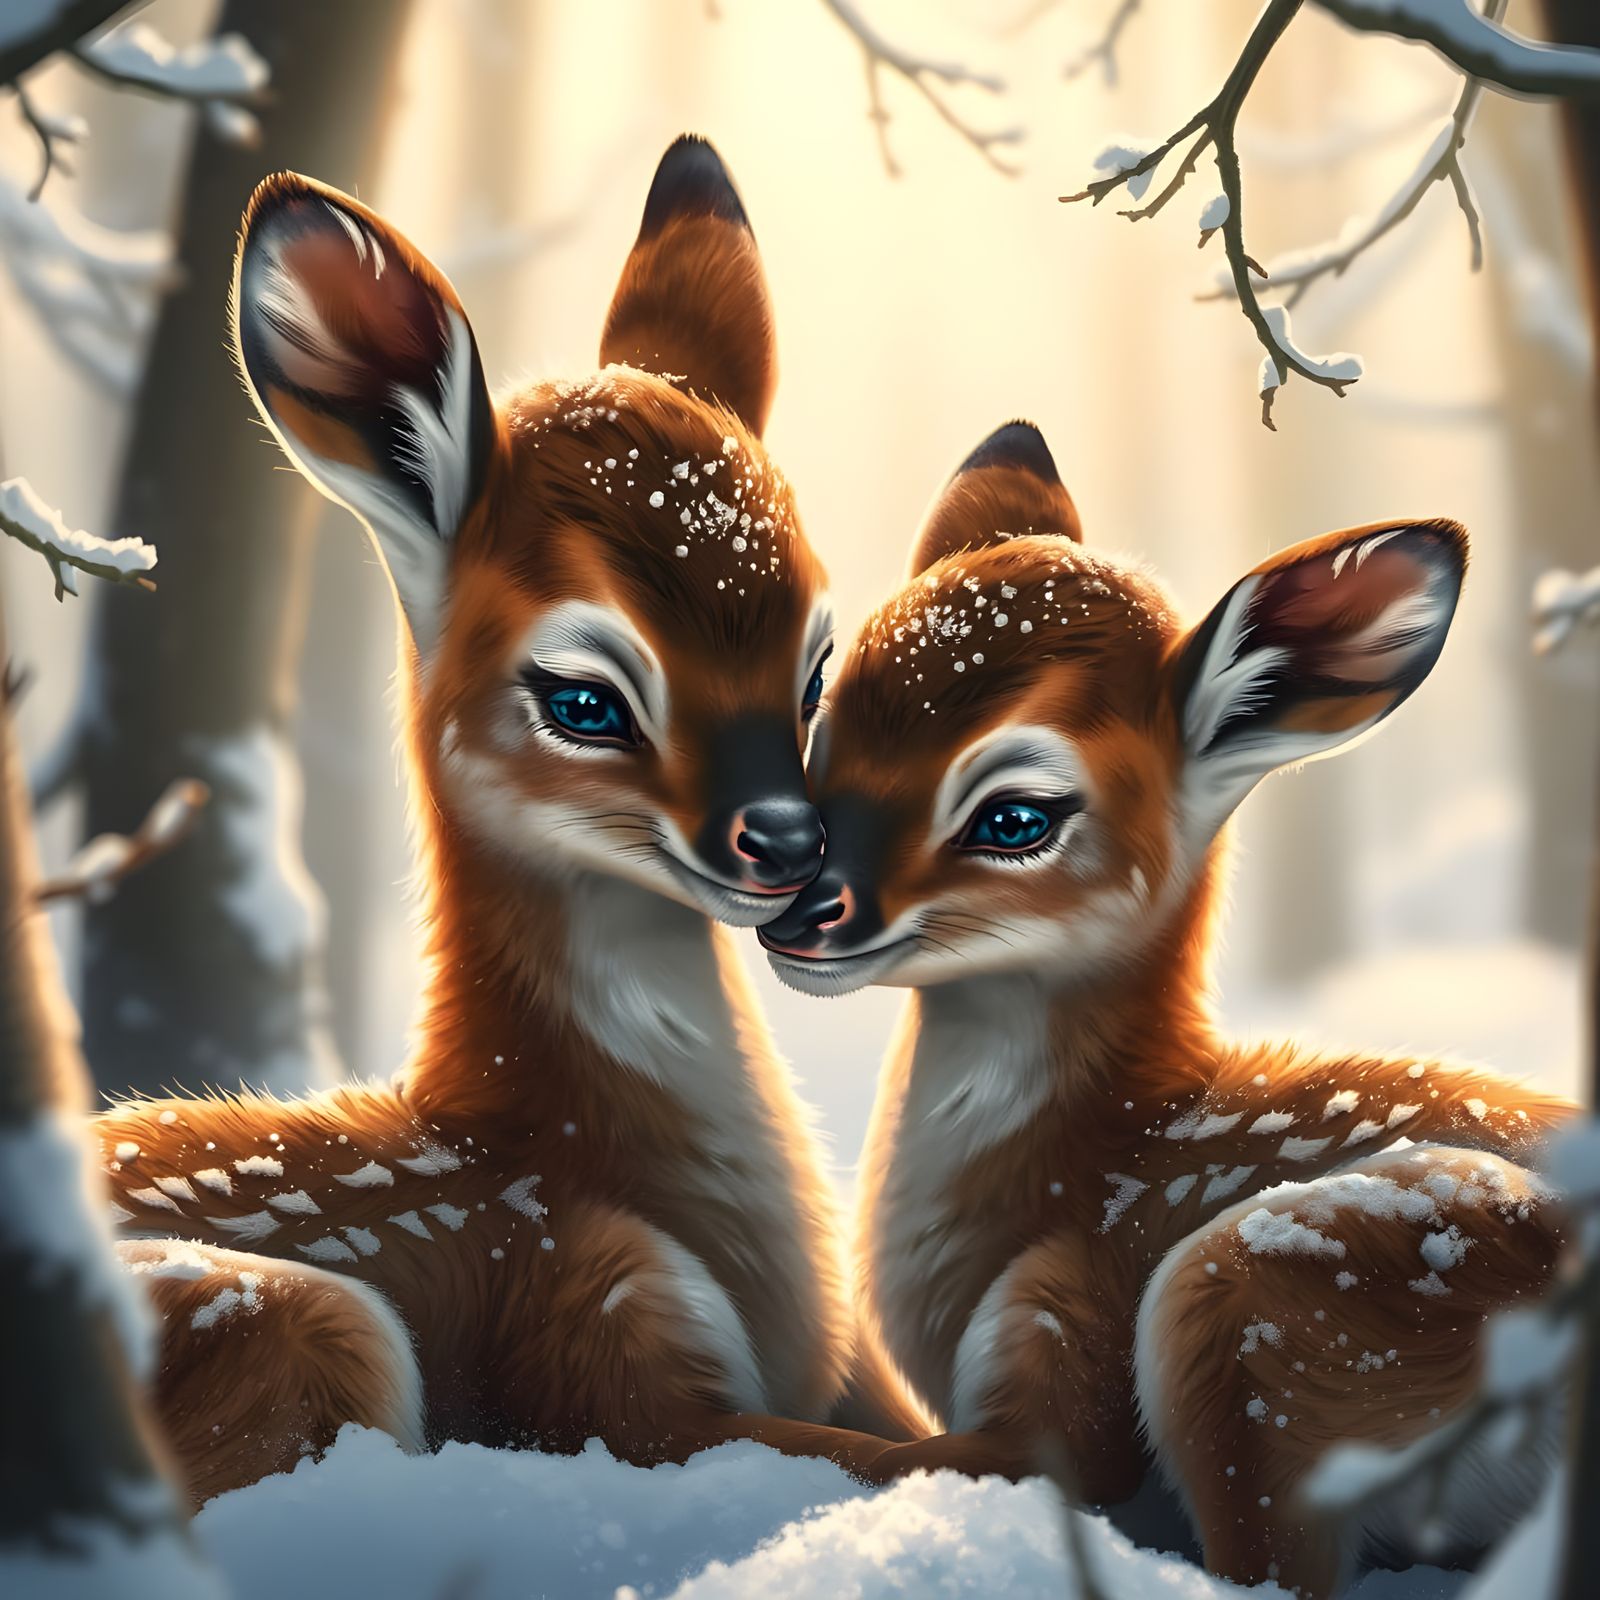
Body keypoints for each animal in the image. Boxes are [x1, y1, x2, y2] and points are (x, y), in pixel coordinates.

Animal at [753, 420, 1579, 1597]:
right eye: (821, 730)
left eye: (1014, 815)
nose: (798, 907)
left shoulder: (1068, 1363)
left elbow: (869, 1456)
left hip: (1258, 1302)